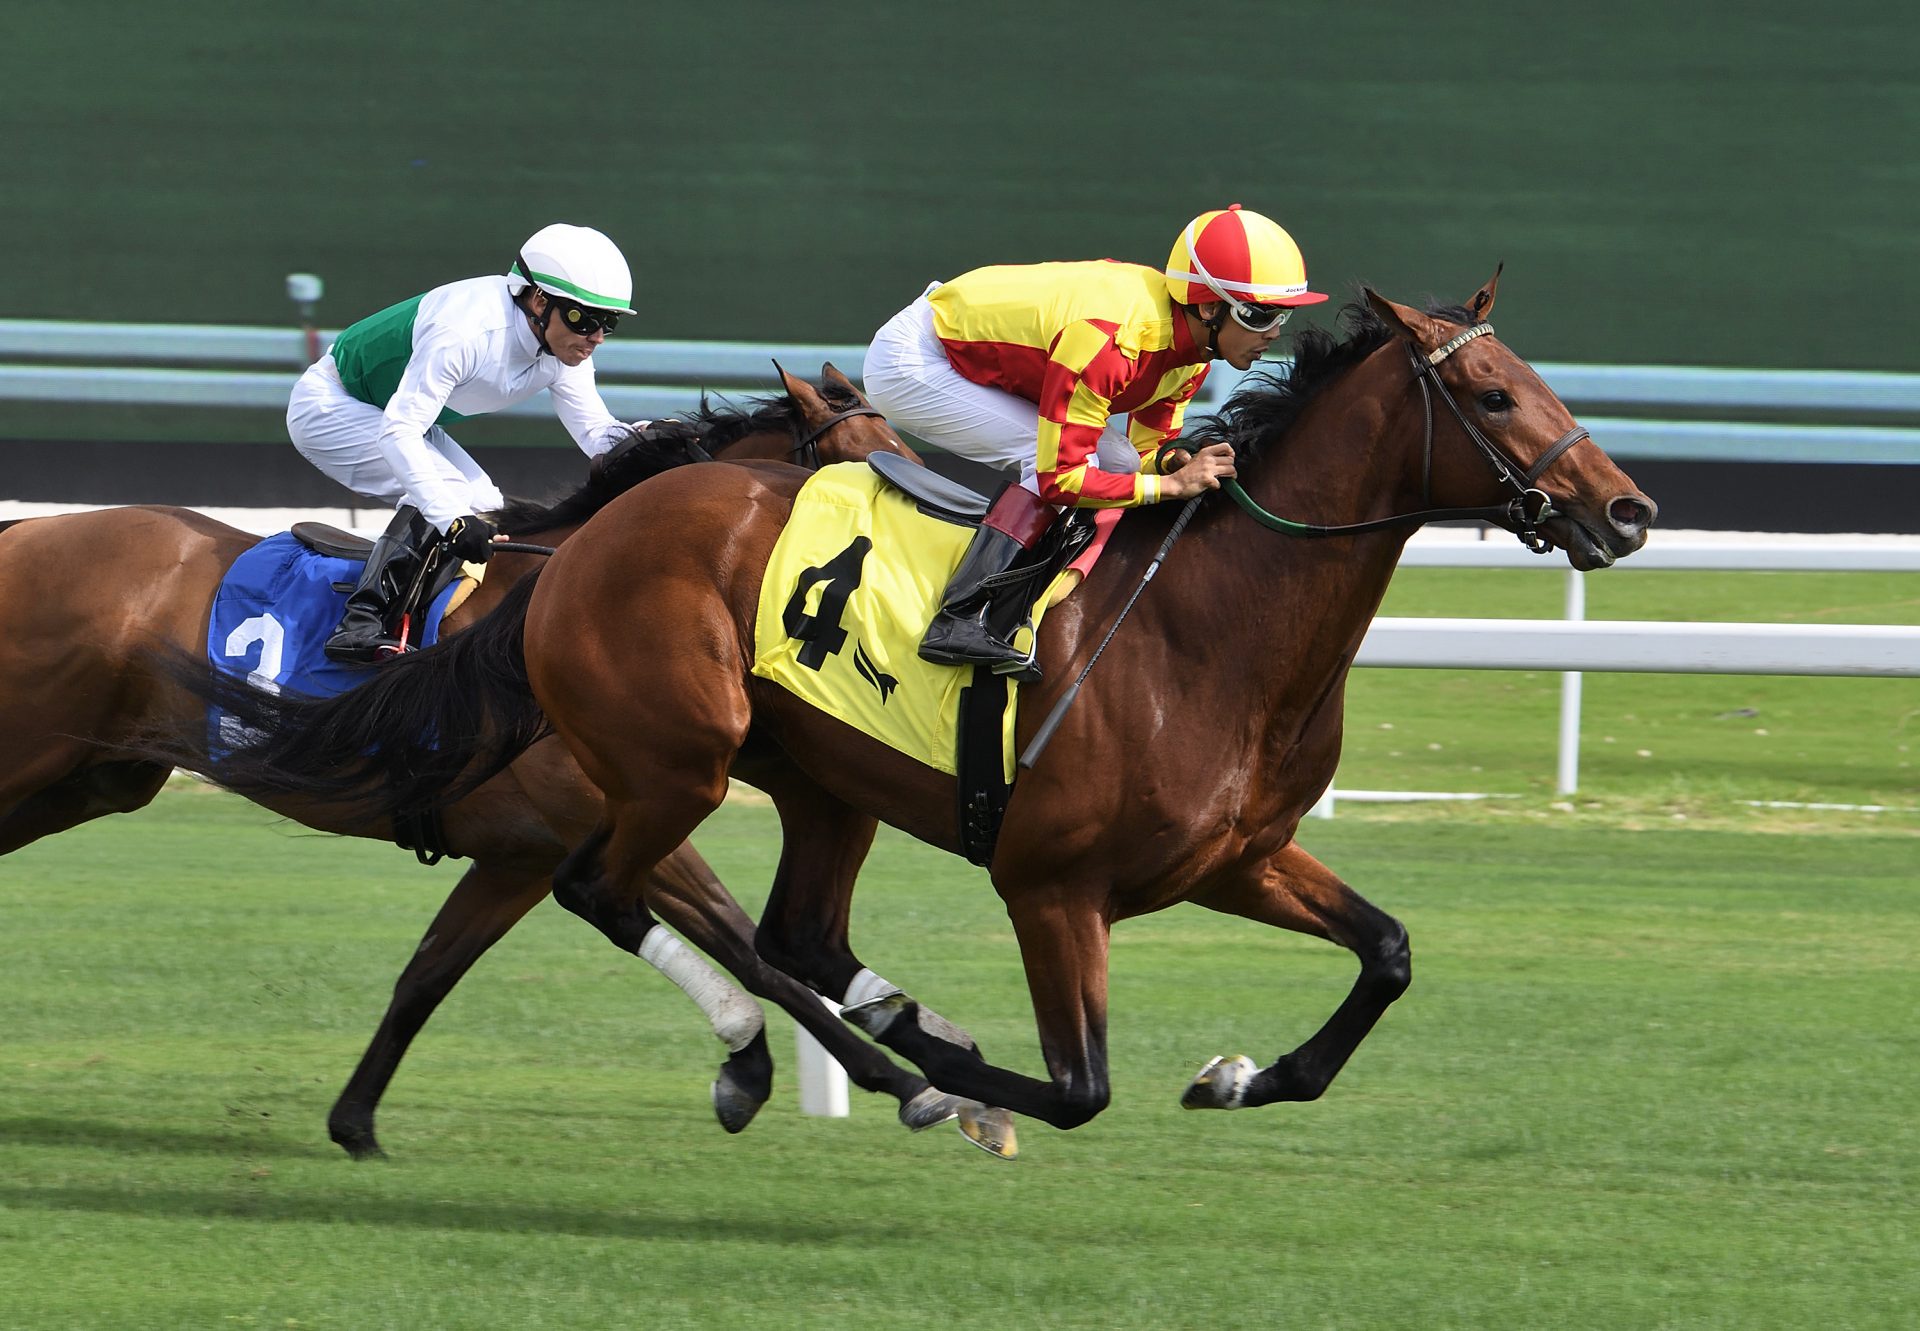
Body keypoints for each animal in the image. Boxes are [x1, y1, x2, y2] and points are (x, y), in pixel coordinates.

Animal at [3, 363, 1021, 1152]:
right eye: (871, 467)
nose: (950, 566)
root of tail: (27, 532)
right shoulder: (622, 819)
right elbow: (757, 955)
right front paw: (893, 1082)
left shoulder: (521, 854)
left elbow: (428, 973)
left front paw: (355, 1122)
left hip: (92, 779)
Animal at [149, 280, 1658, 1129]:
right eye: (1489, 391)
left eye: (1537, 379)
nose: (1629, 511)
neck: (1206, 630)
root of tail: (572, 550)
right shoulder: (1051, 882)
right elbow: (1077, 1088)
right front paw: (959, 1074)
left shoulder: (1238, 855)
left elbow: (1389, 950)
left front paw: (1242, 1075)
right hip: (678, 761)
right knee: (645, 899)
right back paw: (888, 1065)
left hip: (817, 783)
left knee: (785, 931)